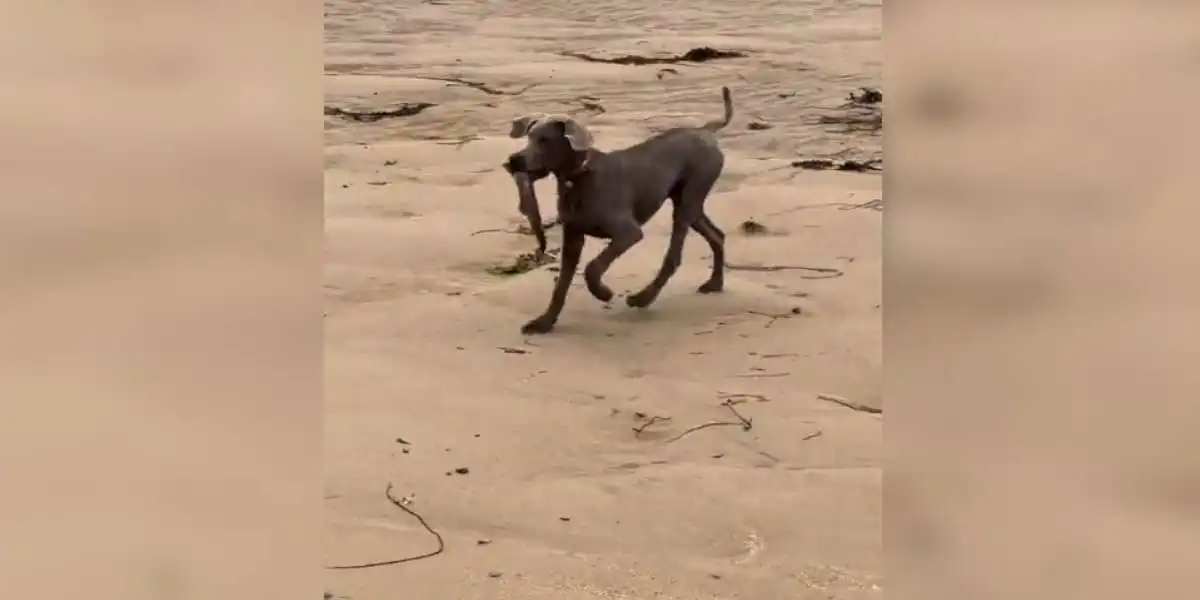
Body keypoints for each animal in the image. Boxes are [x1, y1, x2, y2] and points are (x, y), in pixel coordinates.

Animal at [504, 87, 734, 336]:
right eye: (529, 136)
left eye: (545, 140)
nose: (513, 160)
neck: (579, 177)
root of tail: (705, 130)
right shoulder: (573, 237)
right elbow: (561, 286)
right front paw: (544, 322)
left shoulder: (628, 232)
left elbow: (593, 267)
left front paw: (603, 293)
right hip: (689, 202)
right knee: (717, 236)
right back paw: (714, 284)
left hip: (688, 200)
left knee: (674, 256)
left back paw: (643, 298)